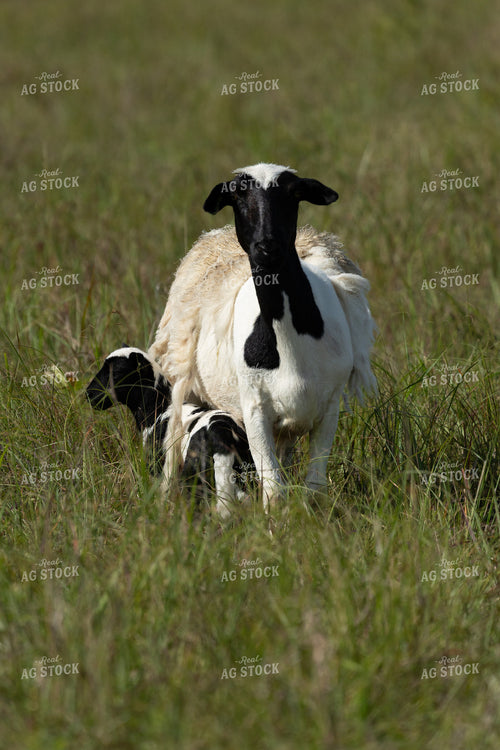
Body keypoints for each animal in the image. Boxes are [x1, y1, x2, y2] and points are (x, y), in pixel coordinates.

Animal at [85, 346, 254, 516]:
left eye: (117, 372)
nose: (89, 394)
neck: (157, 409)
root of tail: (222, 435)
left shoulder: (161, 467)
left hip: (194, 477)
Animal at [149, 163, 377, 509]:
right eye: (237, 194)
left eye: (294, 193)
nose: (266, 246)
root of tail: (215, 235)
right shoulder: (255, 412)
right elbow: (274, 490)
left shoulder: (329, 409)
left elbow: (313, 487)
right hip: (185, 384)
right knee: (174, 441)